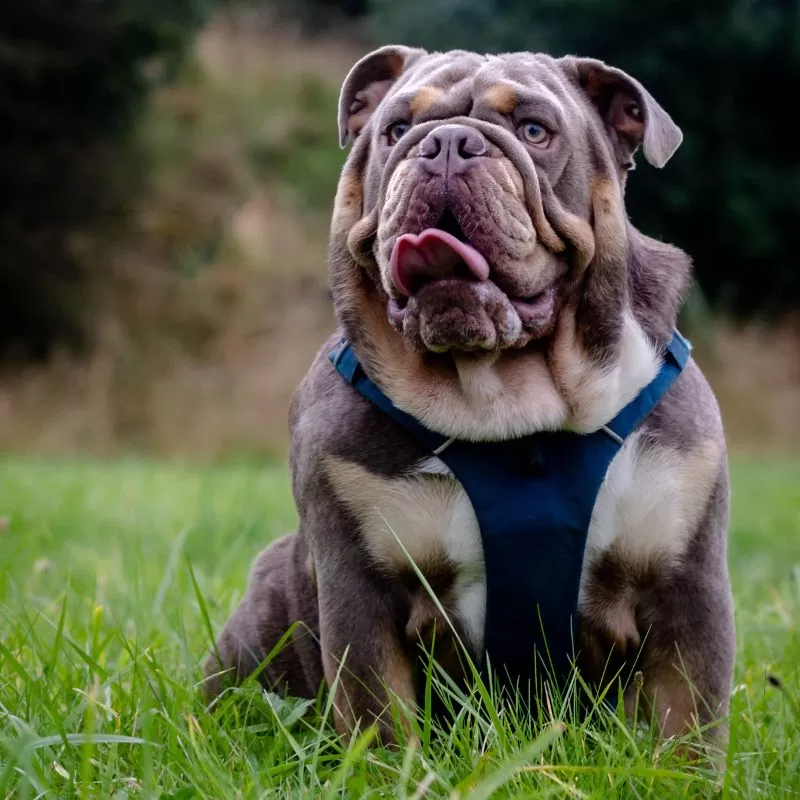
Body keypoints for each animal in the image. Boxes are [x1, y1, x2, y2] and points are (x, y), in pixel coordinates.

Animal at [205, 45, 732, 752]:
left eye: (535, 131)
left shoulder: (688, 591)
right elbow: (380, 721)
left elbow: (687, 730)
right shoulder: (359, 595)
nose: (448, 144)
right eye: (397, 130)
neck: (501, 394)